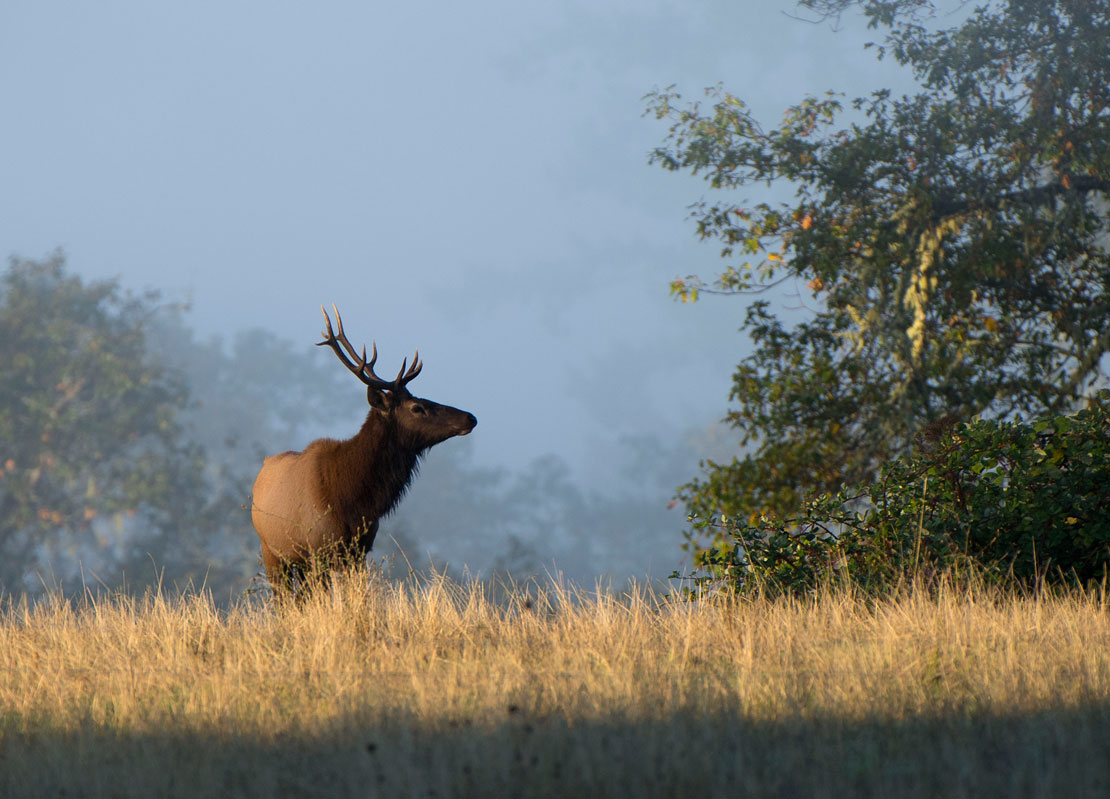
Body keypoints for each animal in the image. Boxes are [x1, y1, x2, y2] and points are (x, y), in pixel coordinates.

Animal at [249, 305, 477, 595]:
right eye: (417, 408)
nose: (470, 418)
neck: (353, 499)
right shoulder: (319, 549)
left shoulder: (359, 551)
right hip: (272, 552)